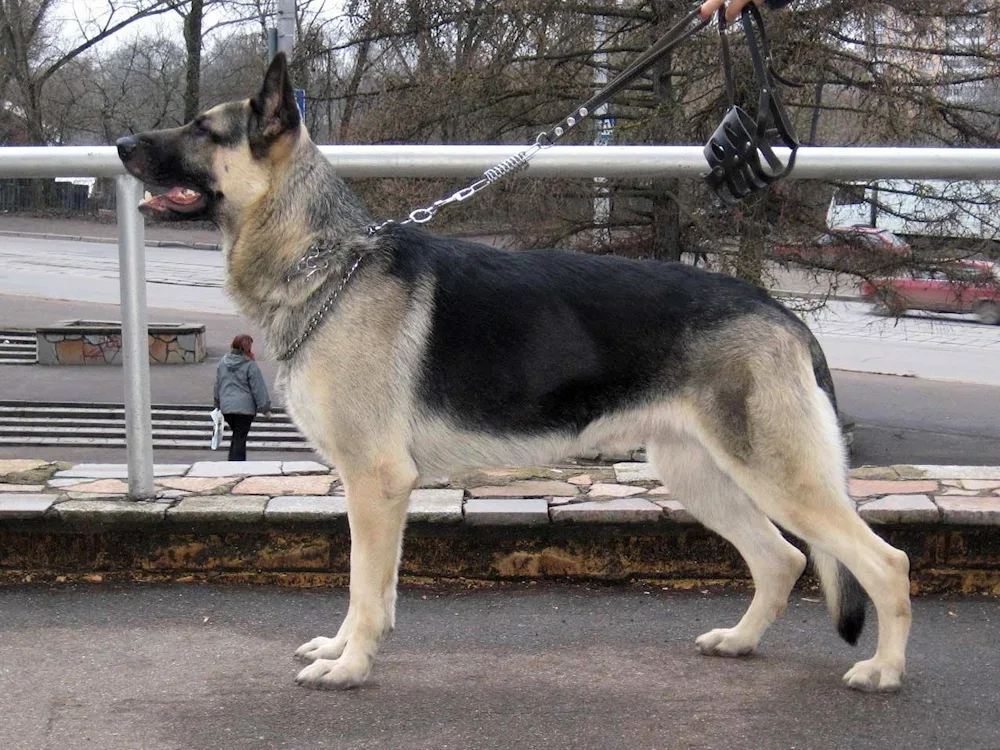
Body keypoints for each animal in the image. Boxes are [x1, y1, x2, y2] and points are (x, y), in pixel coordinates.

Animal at [113, 54, 912, 692]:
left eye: (201, 130)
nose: (120, 144)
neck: (325, 262)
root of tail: (782, 313)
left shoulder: (376, 483)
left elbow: (365, 588)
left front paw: (350, 668)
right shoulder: (371, 491)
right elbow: (369, 586)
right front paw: (344, 651)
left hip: (779, 478)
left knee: (887, 564)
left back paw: (883, 671)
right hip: (701, 475)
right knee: (780, 560)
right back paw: (740, 642)